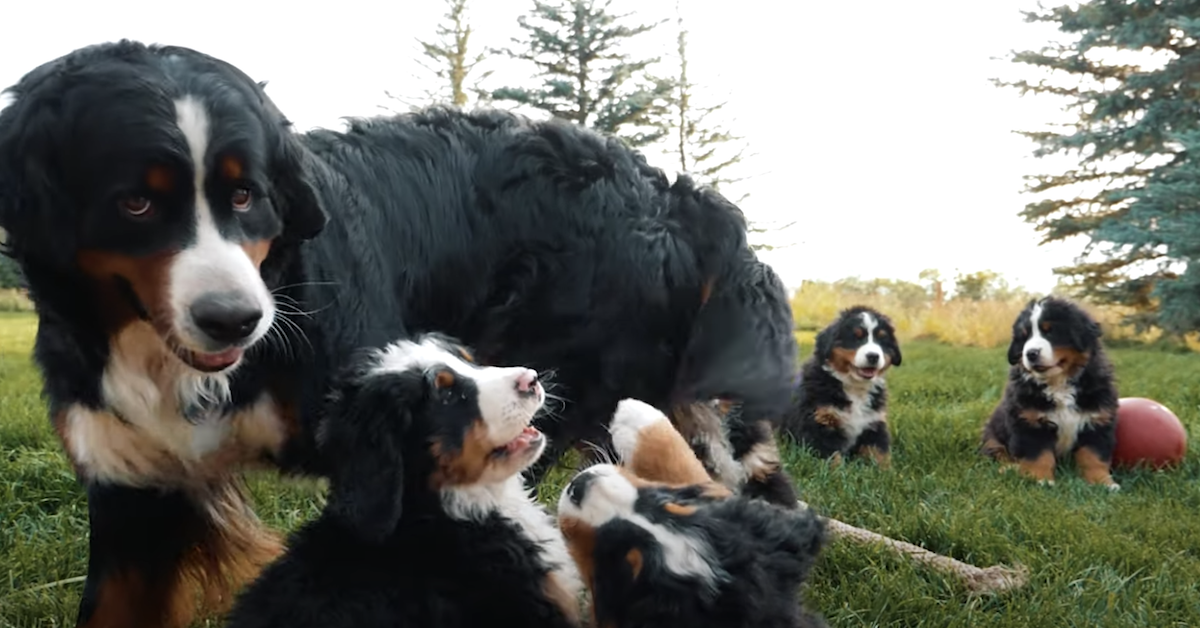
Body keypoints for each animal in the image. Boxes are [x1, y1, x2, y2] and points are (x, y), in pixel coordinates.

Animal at [777, 304, 902, 465]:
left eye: (882, 340)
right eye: (856, 337)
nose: (873, 356)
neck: (854, 387)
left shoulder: (874, 424)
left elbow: (880, 454)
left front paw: (886, 470)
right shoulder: (819, 423)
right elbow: (831, 458)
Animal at [979, 296, 1118, 492]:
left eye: (1050, 332)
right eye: (1024, 337)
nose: (1030, 353)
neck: (1058, 383)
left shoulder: (1097, 420)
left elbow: (1094, 456)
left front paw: (1102, 483)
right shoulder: (1029, 421)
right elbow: (1038, 455)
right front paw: (1039, 479)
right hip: (992, 434)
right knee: (997, 452)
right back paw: (1009, 468)